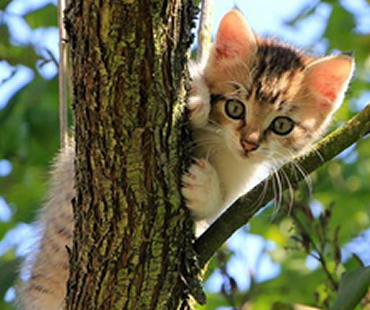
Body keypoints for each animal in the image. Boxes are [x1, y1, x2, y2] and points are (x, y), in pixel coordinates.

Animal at [181, 9, 354, 222]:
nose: (248, 144)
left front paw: (204, 188)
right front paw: (197, 94)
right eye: (235, 108)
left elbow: (213, 215)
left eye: (282, 125)